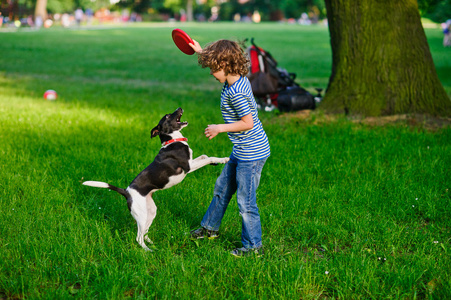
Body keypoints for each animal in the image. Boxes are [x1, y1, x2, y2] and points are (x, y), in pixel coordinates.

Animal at [82, 108, 228, 251]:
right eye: (167, 116)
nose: (180, 108)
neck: (172, 141)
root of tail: (126, 192)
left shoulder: (192, 162)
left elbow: (204, 156)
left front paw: (215, 162)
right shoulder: (188, 166)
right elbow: (208, 157)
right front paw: (222, 159)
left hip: (150, 212)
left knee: (144, 232)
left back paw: (152, 243)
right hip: (141, 215)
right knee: (138, 237)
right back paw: (148, 251)